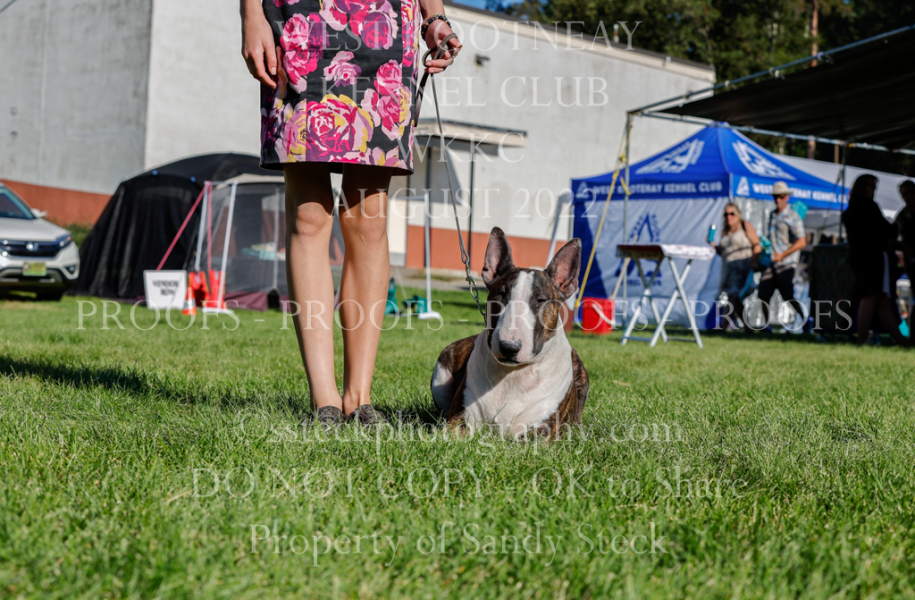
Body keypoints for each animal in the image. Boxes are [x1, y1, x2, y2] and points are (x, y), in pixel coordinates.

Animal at [430, 227, 589, 438]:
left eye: (540, 300)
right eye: (500, 294)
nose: (509, 347)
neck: (512, 374)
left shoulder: (540, 433)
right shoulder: (458, 422)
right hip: (440, 376)